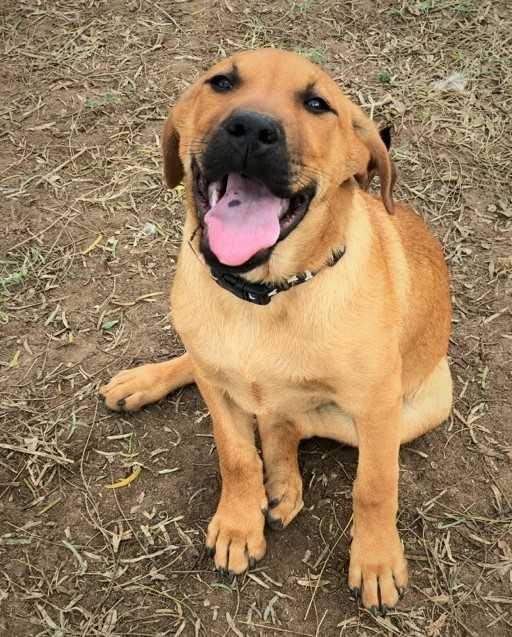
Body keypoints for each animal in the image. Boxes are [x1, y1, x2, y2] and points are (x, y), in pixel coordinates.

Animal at [101, 49, 452, 616]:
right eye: (221, 83)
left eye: (318, 104)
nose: (251, 129)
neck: (263, 297)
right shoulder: (218, 391)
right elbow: (236, 455)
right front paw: (238, 523)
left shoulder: (377, 406)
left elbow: (375, 485)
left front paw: (376, 560)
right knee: (252, 403)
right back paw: (148, 384)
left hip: (422, 404)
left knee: (290, 420)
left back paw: (284, 481)